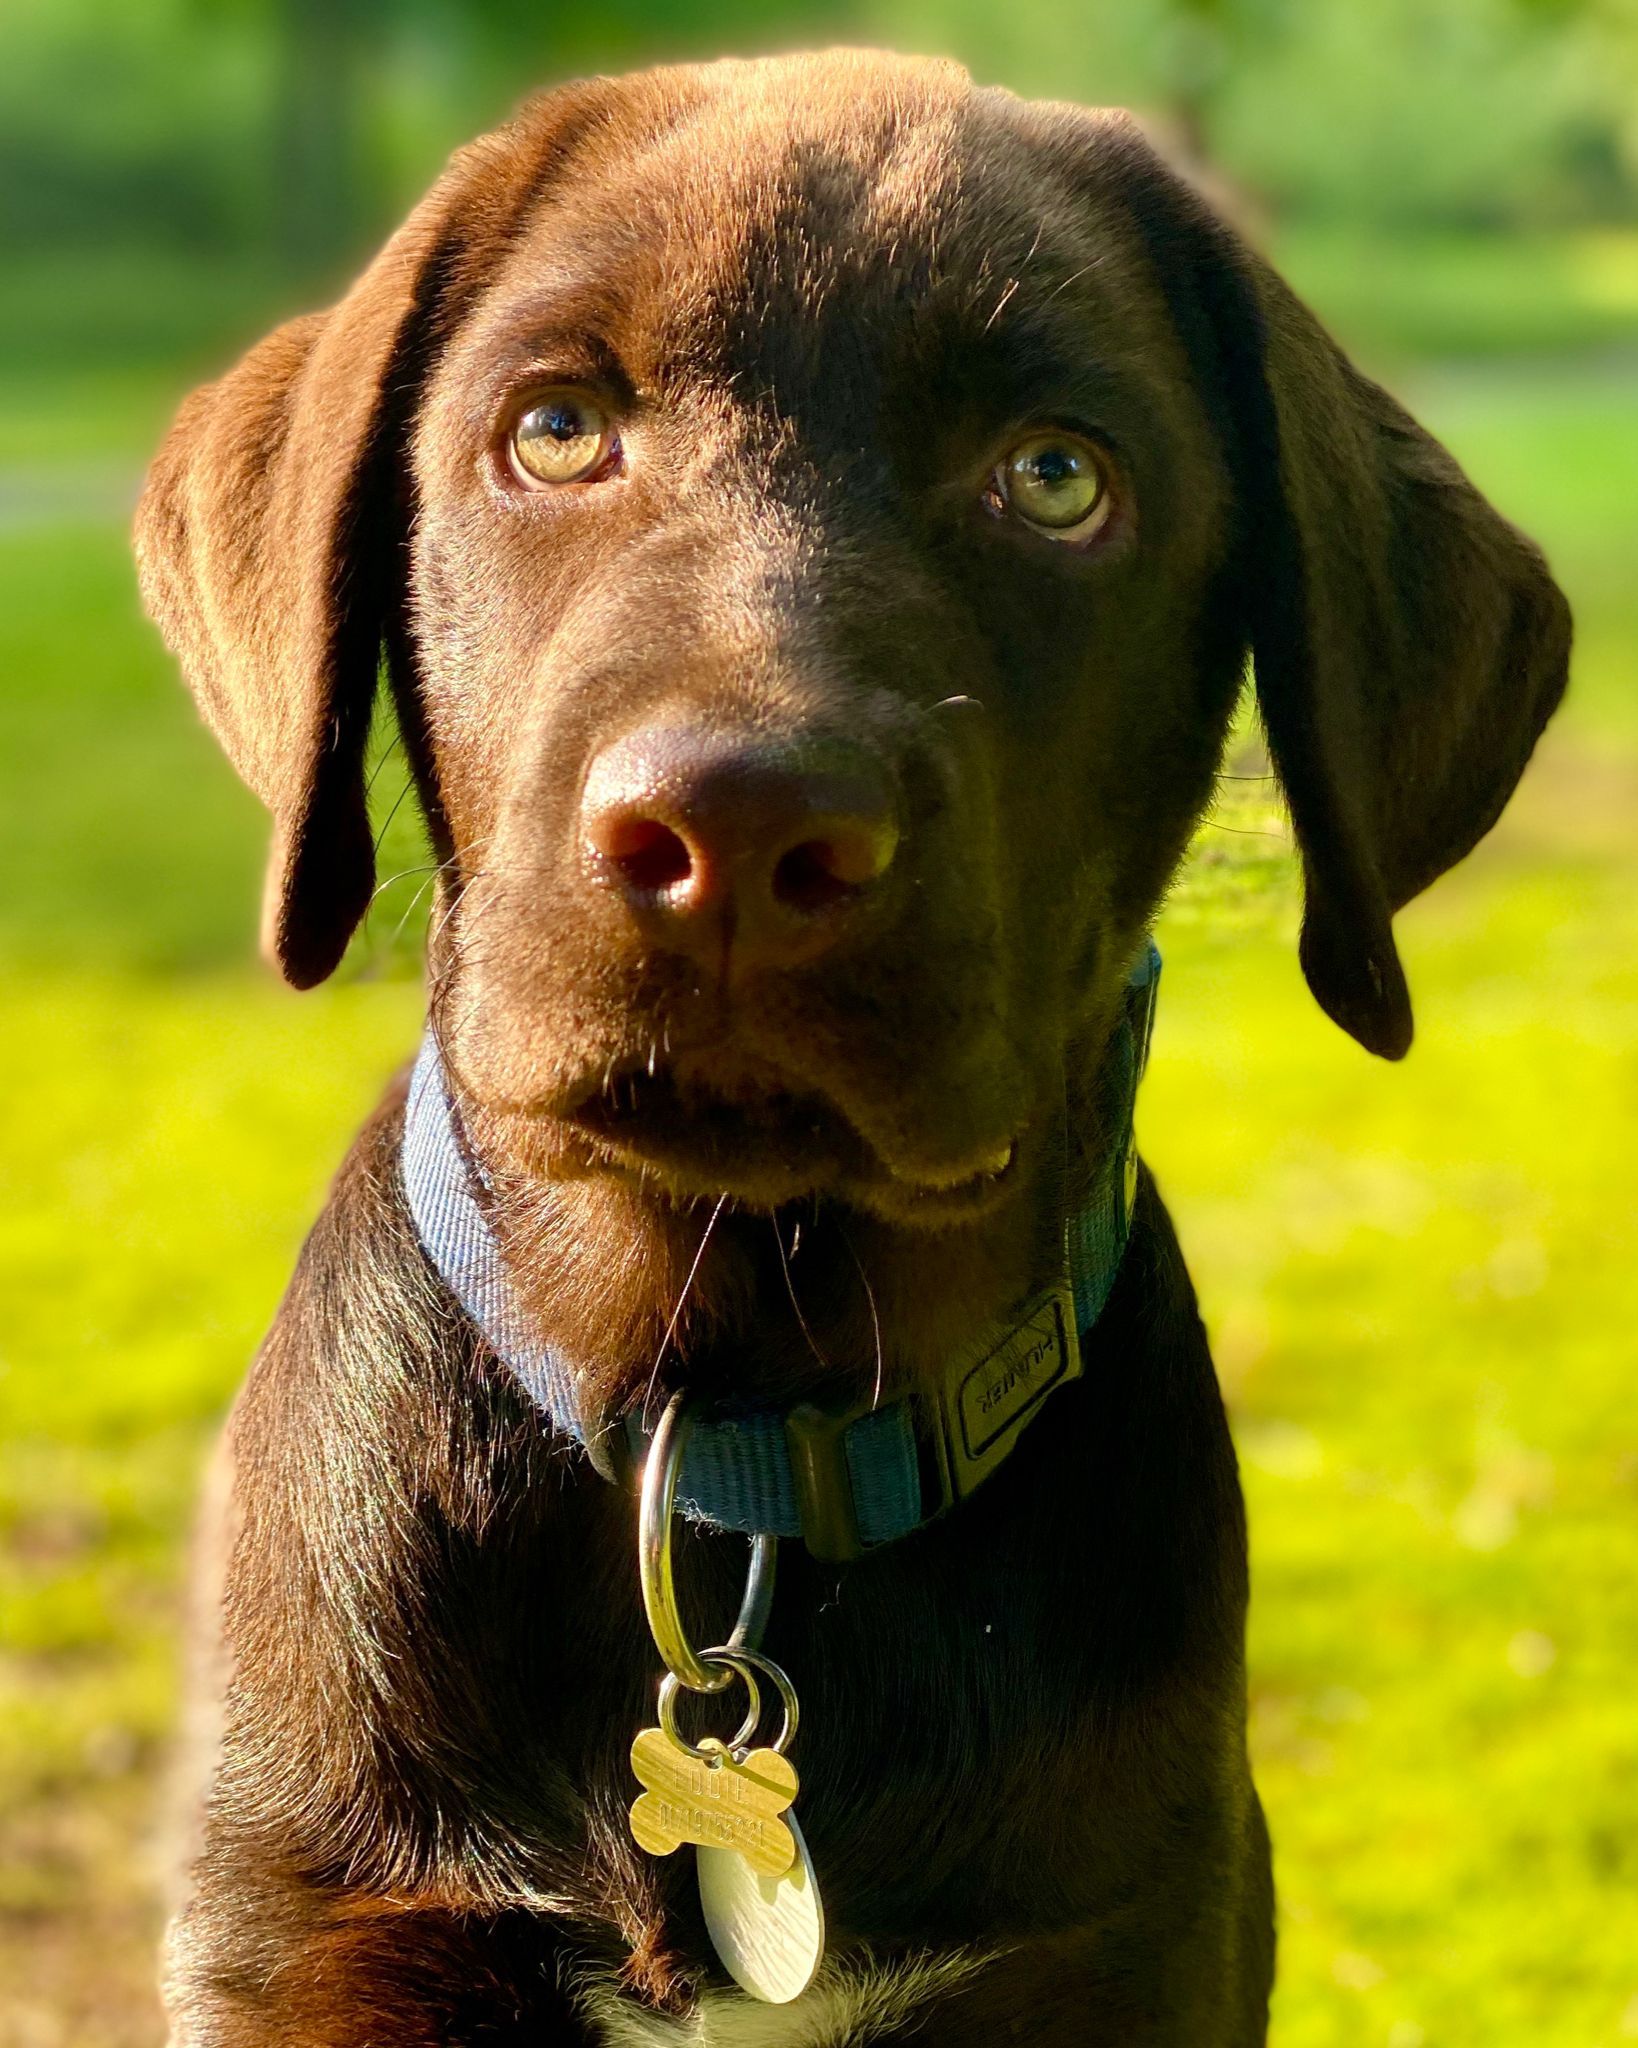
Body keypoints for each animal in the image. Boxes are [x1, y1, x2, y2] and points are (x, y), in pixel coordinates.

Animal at [135, 49, 1569, 2046]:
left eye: (1055, 477)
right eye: (557, 432)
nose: (735, 825)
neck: (735, 1444)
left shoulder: (1120, 1941)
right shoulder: (320, 1925)